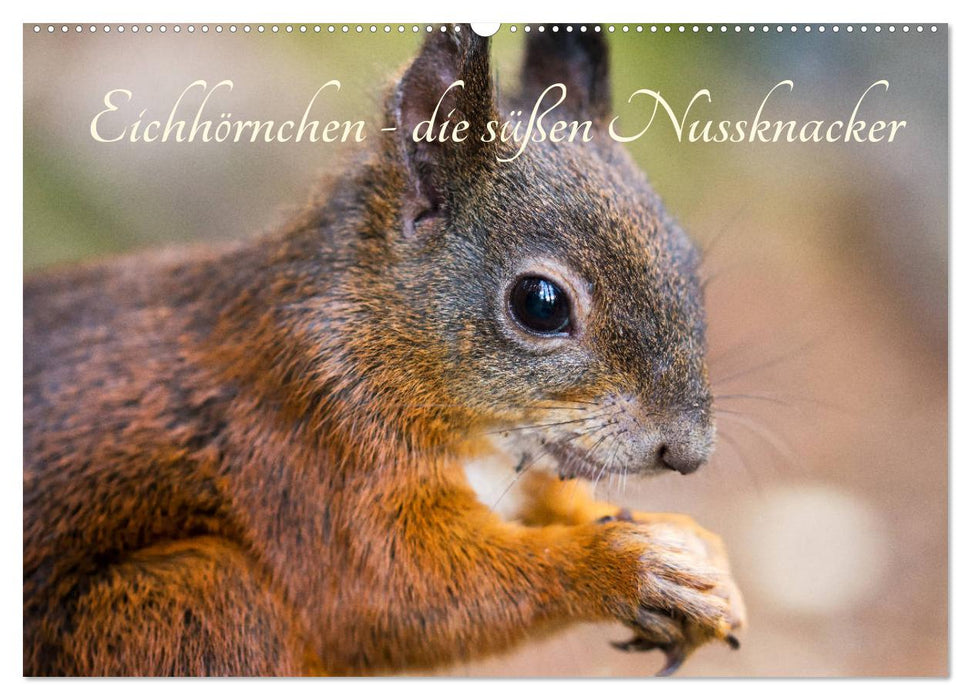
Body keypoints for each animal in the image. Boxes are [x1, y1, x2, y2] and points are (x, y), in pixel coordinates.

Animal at [23, 25, 745, 676]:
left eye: (685, 255)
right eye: (540, 303)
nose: (686, 452)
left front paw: (691, 549)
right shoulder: (308, 449)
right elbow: (395, 595)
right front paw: (625, 566)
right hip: (199, 604)